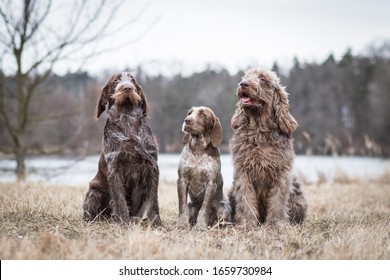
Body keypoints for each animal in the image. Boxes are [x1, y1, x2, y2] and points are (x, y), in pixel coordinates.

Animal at [82, 72, 161, 228]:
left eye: (133, 80)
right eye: (116, 80)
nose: (127, 88)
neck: (127, 120)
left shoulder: (152, 166)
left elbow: (153, 199)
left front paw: (156, 222)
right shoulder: (115, 169)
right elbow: (119, 200)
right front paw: (123, 222)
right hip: (94, 193)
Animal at [229, 68, 308, 228]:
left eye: (263, 79)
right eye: (246, 76)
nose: (243, 84)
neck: (259, 130)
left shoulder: (281, 174)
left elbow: (278, 201)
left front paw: (275, 224)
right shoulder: (243, 172)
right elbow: (246, 200)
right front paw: (247, 223)